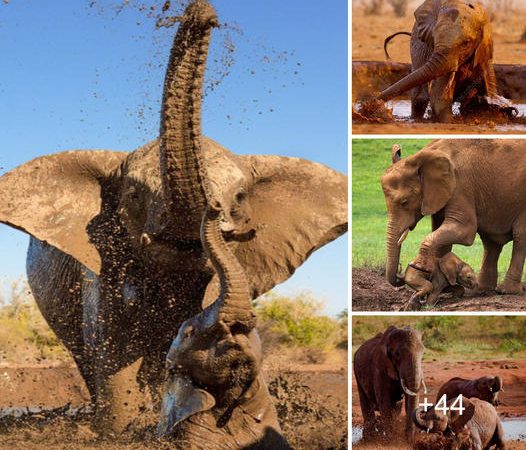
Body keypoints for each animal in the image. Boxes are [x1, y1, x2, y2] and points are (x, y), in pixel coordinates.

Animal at [380, 0, 512, 123]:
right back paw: (416, 119)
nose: (376, 100)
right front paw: (450, 121)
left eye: (466, 44)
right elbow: (439, 97)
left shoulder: (484, 55)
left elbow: (488, 90)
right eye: (433, 39)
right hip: (416, 45)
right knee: (420, 96)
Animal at [384, 139, 526, 298]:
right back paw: (482, 290)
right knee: (491, 243)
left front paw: (418, 266)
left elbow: (464, 230)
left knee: (520, 237)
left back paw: (506, 291)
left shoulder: (461, 186)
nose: (400, 270)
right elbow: (441, 236)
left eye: (404, 202)